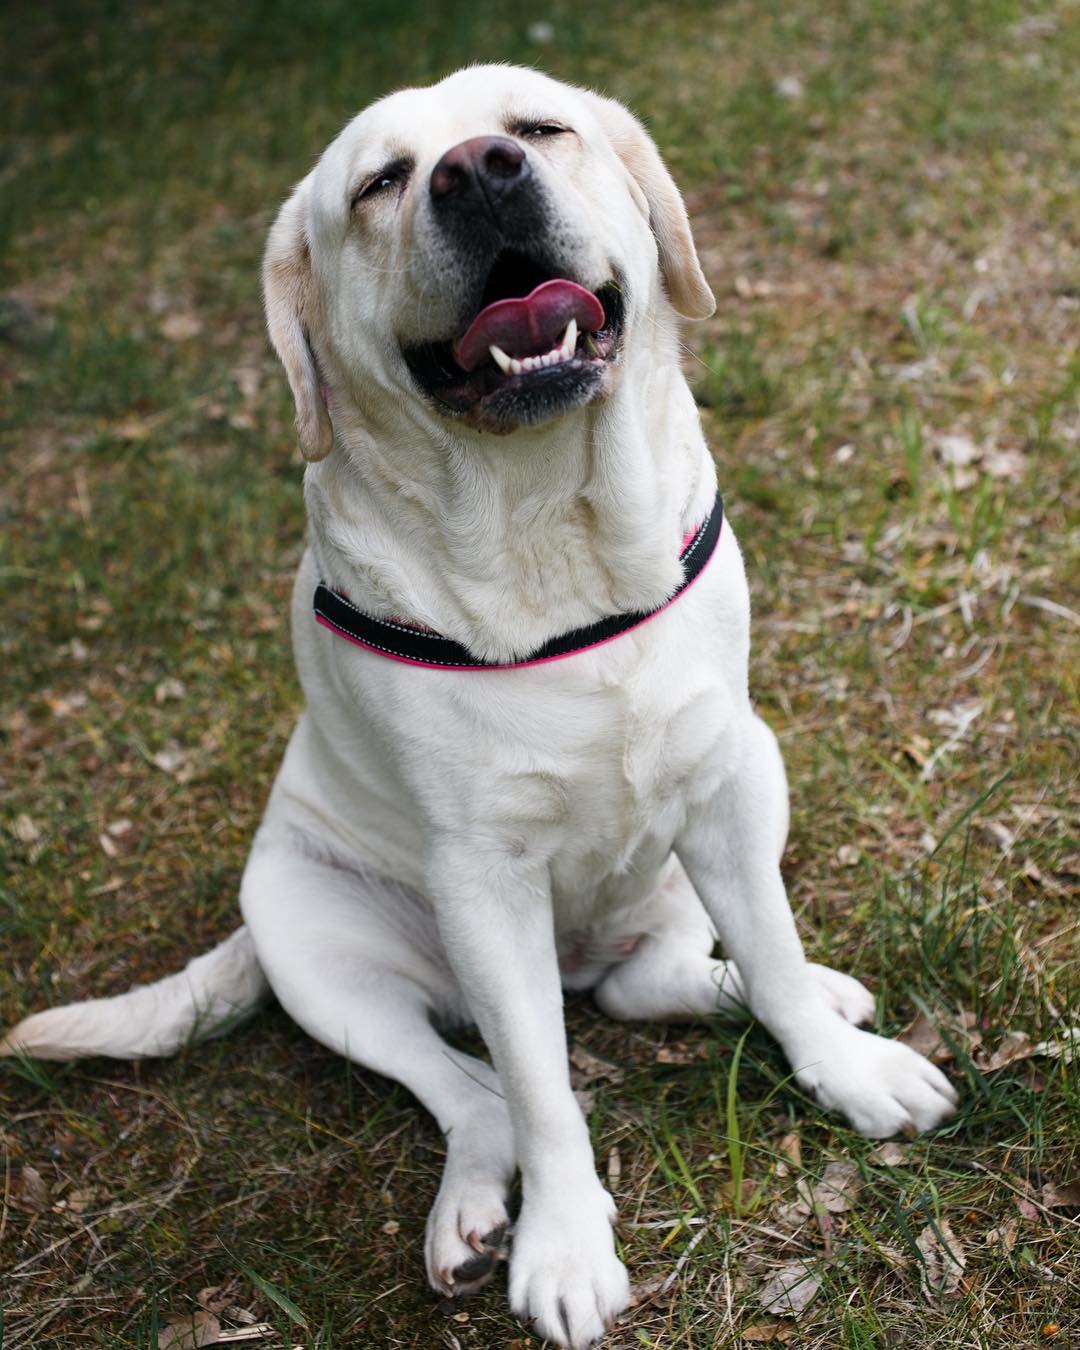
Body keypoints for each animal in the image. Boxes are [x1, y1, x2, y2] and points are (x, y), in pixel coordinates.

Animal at [4, 65, 955, 1350]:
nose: (478, 171)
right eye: (381, 183)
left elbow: (769, 945)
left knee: (654, 978)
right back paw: (469, 1210)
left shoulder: (719, 783)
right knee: (479, 1089)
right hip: (315, 943)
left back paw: (801, 994)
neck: (551, 523)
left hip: (753, 774)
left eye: (540, 127)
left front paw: (845, 1068)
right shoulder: (482, 880)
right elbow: (543, 1093)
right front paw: (564, 1246)